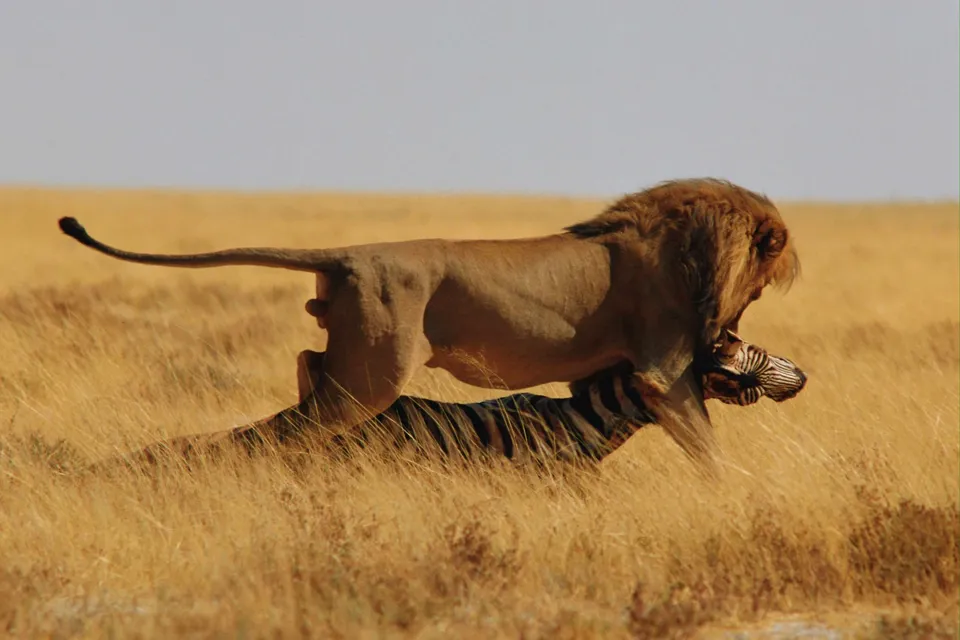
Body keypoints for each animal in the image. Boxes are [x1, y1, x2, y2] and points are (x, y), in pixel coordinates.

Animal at [57, 178, 799, 476]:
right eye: (762, 287)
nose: (724, 337)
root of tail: (347, 255)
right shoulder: (662, 368)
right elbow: (709, 452)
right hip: (374, 373)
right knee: (290, 426)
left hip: (350, 362)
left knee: (301, 373)